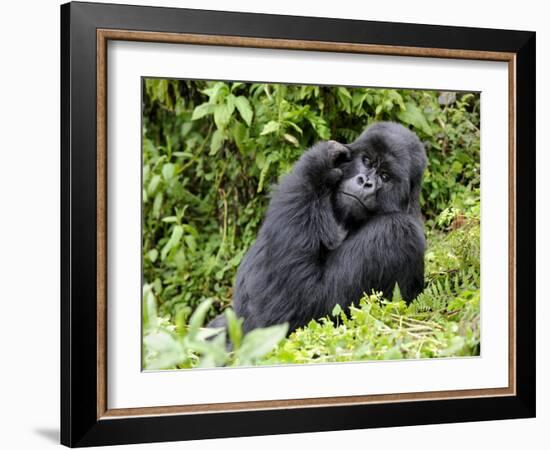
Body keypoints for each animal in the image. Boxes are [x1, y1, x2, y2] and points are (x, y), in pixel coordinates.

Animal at [209, 122, 430, 334]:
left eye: (385, 177)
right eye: (367, 161)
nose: (365, 181)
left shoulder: (396, 231)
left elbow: (310, 304)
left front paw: (316, 165)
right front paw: (323, 164)